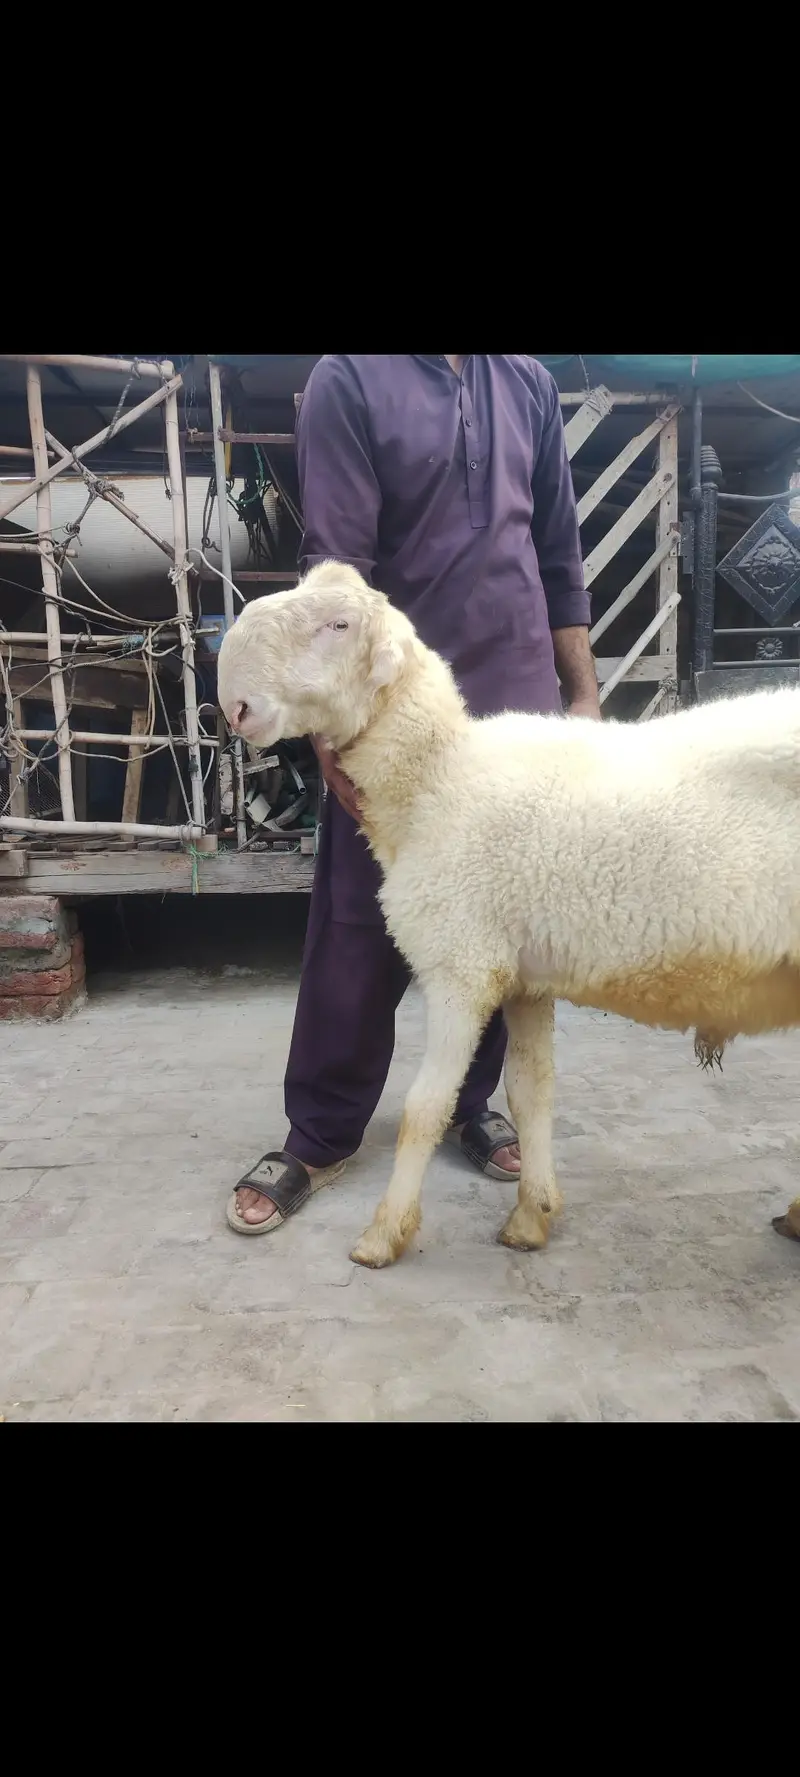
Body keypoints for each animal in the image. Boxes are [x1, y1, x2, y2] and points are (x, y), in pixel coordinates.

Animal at [218, 560, 800, 1269]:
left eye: (339, 625)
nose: (234, 703)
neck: (438, 781)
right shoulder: (525, 979)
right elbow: (531, 1092)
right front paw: (532, 1215)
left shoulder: (461, 968)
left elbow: (424, 1106)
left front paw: (384, 1235)